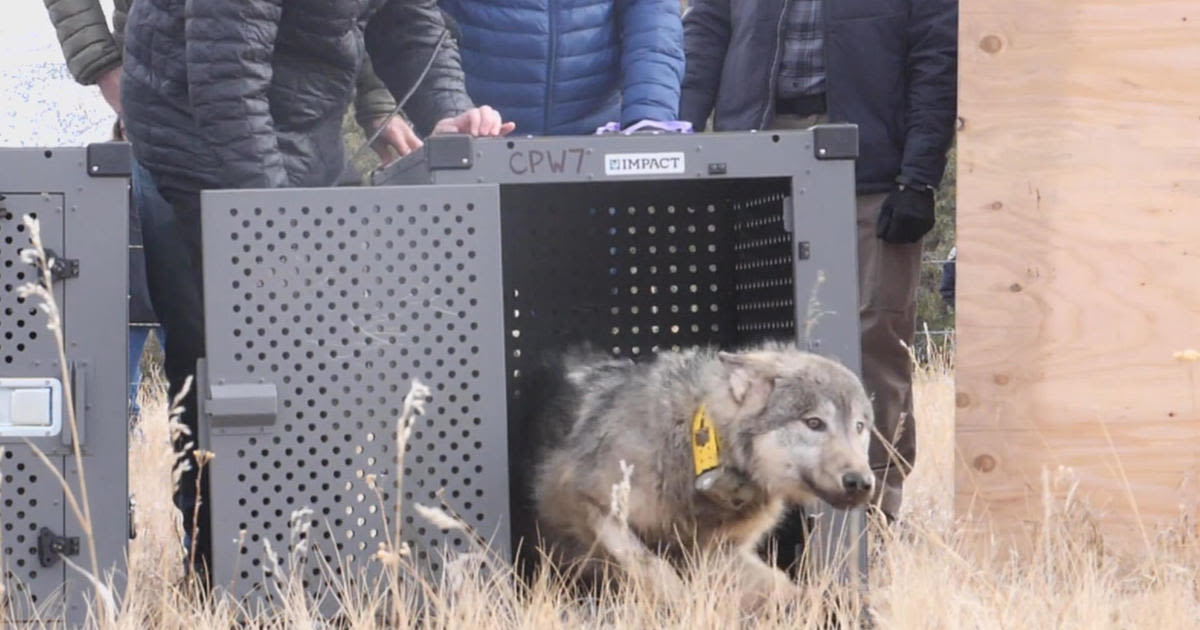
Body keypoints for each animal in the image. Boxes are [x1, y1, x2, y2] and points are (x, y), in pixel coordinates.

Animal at [520, 338, 878, 600]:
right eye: (814, 423)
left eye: (860, 427)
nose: (861, 482)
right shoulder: (589, 502)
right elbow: (652, 566)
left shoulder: (719, 551)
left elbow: (782, 586)